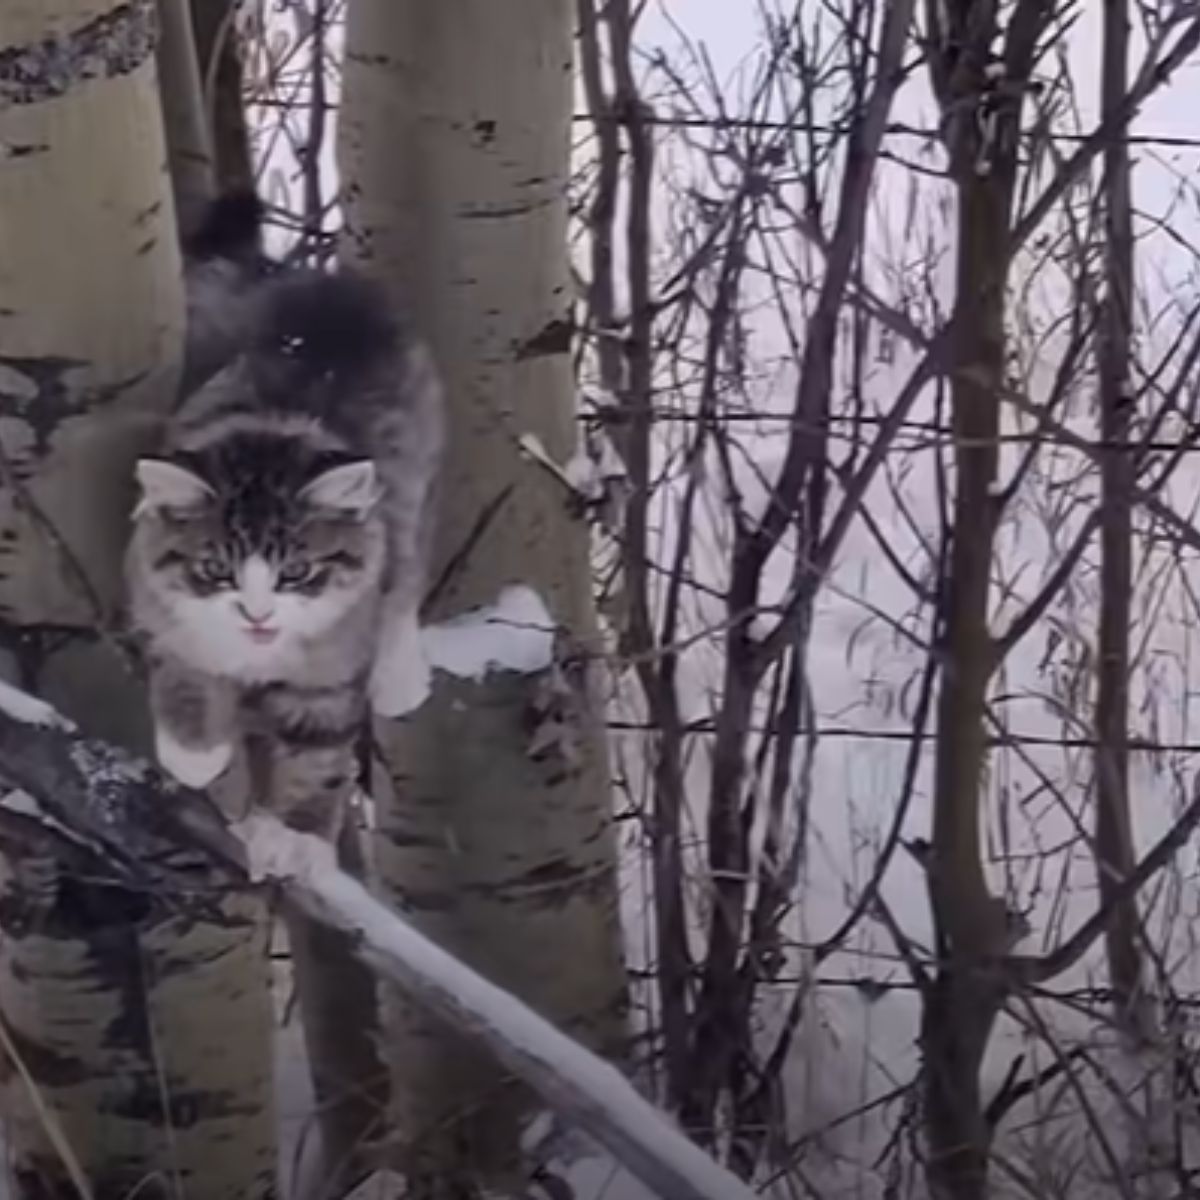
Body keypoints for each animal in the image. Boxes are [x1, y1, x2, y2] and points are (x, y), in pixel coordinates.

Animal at [126, 196, 446, 835]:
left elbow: (315, 756)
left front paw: (295, 839)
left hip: (416, 477)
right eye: (216, 570)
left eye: (296, 571)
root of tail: (332, 297)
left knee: (409, 569)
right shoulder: (163, 612)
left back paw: (399, 679)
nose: (257, 615)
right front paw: (196, 756)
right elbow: (184, 679)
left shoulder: (330, 672)